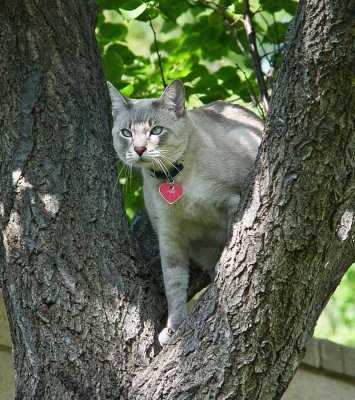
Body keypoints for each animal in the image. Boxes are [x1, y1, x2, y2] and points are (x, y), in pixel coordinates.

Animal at [108, 79, 264, 346]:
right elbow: (174, 284)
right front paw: (174, 327)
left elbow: (232, 245)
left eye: (156, 131)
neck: (171, 177)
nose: (139, 149)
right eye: (126, 133)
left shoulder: (233, 203)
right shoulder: (170, 235)